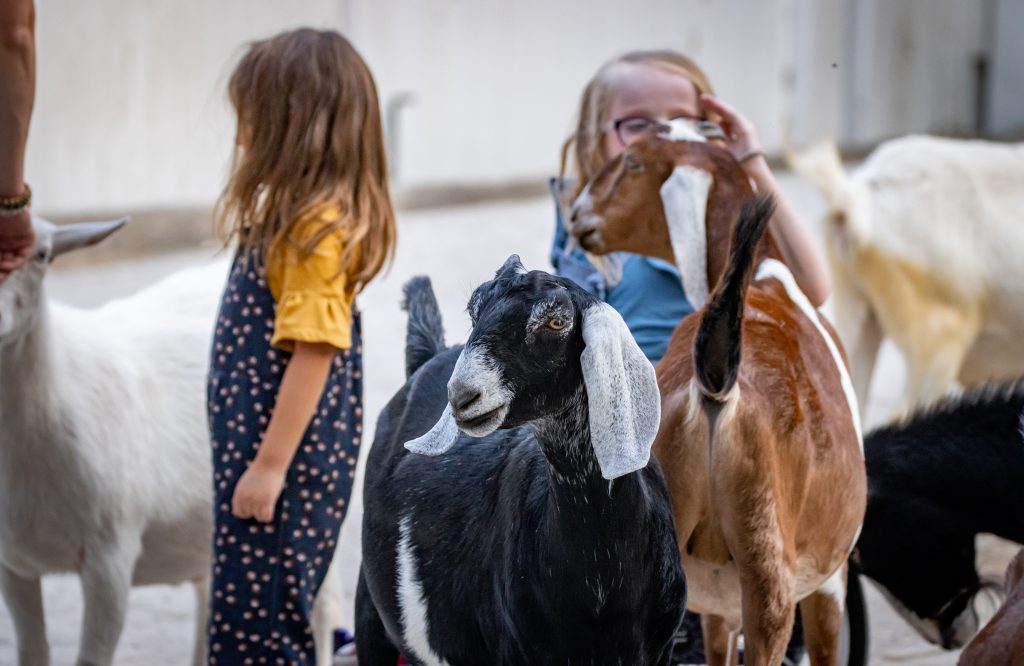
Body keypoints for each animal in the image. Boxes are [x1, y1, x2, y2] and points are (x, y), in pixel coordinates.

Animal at [0, 219, 344, 663]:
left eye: (42, 255)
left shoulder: (111, 552)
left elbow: (91, 657)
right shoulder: (13, 562)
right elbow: (33, 649)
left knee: (322, 606)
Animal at [569, 128, 864, 663]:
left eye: (633, 162)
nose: (578, 213)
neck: (765, 274)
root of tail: (714, 383)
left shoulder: (716, 608)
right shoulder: (831, 578)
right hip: (769, 579)